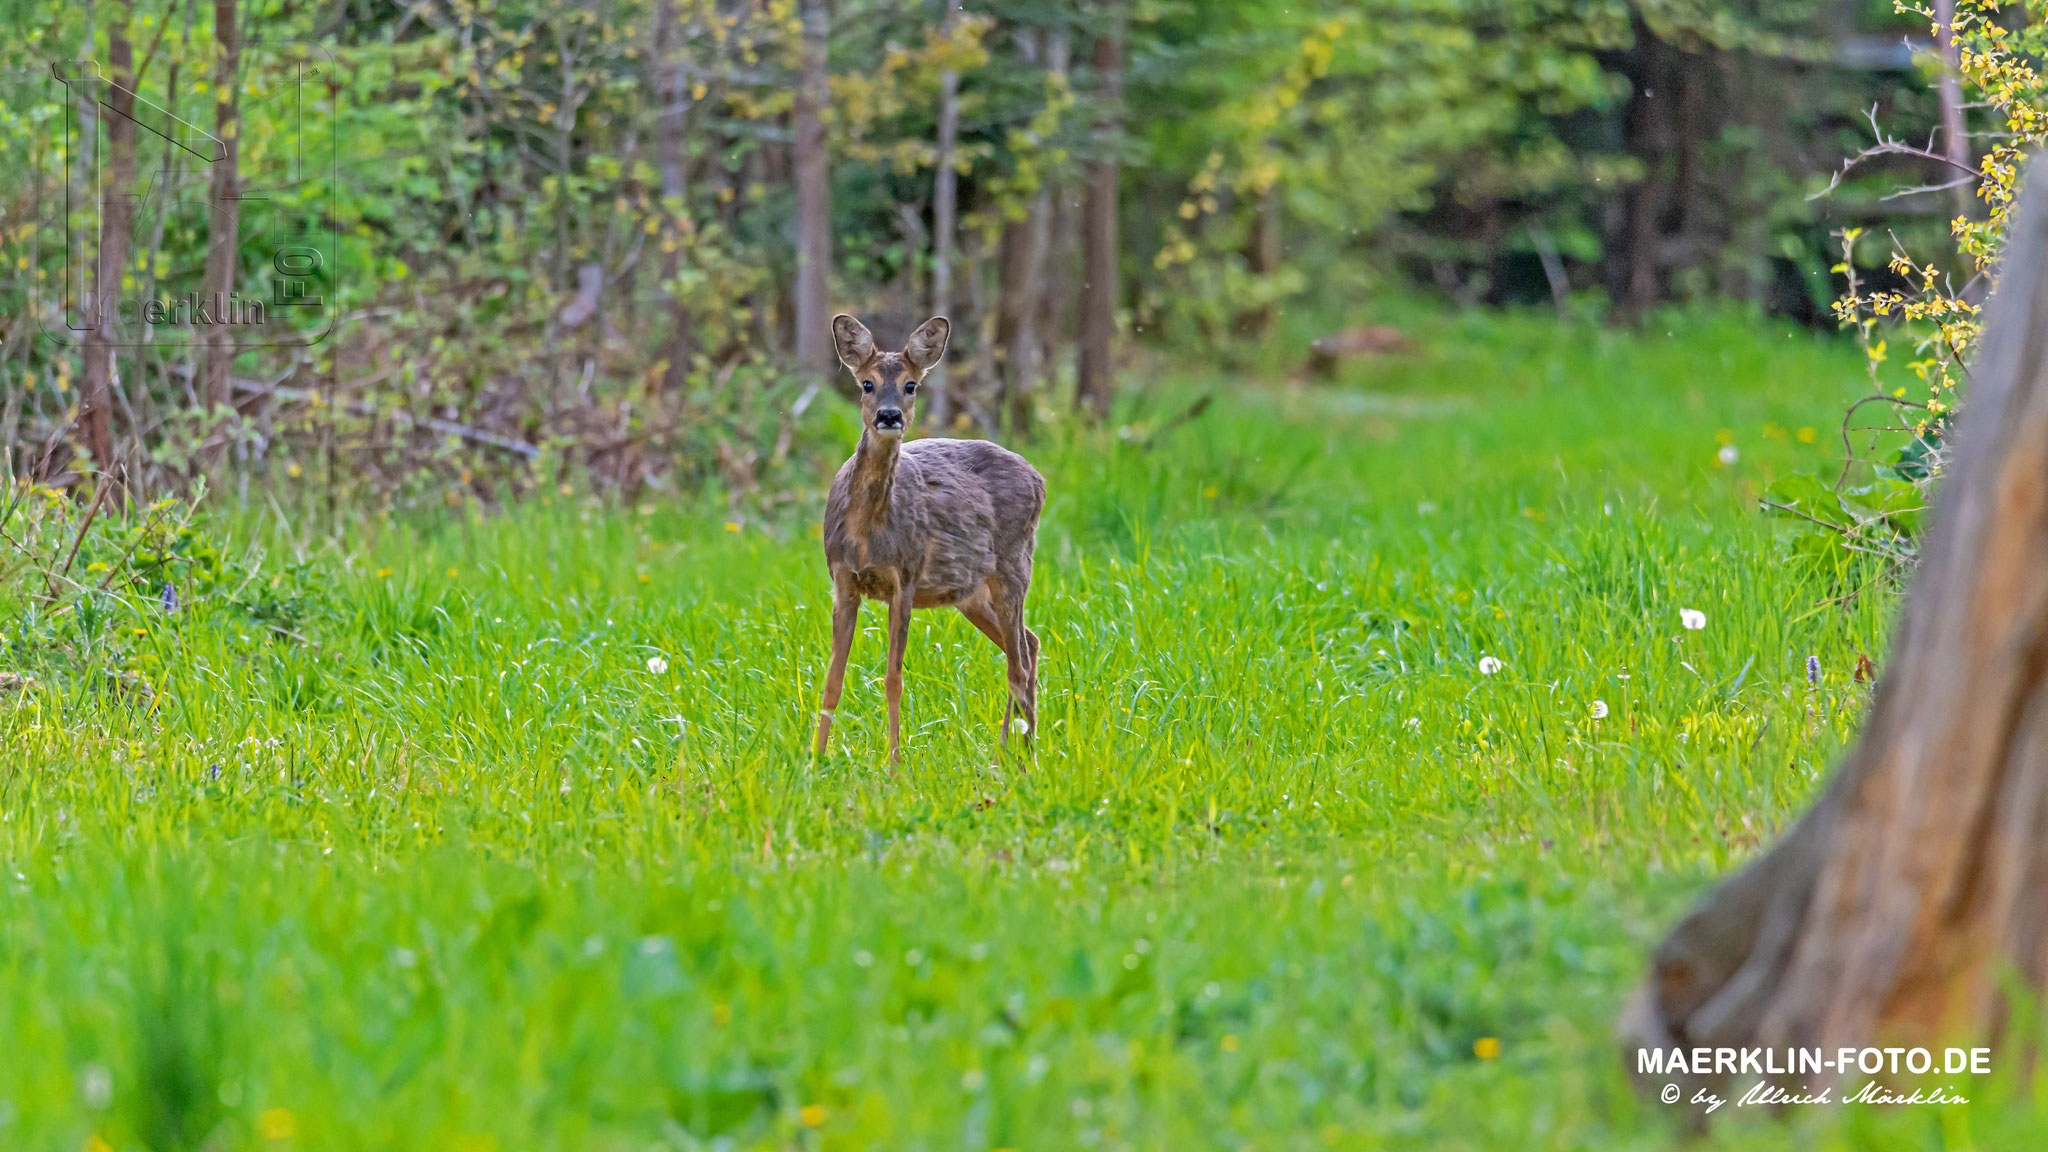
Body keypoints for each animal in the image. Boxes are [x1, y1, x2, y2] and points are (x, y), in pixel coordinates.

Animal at [811, 315, 1048, 762]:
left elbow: (893, 679)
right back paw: (1017, 753)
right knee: (1028, 643)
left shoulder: (904, 579)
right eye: (866, 383)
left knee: (1018, 664)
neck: (866, 534)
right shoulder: (843, 582)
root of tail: (1038, 477)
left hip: (1014, 566)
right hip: (970, 592)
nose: (888, 416)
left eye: (911, 385)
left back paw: (1016, 760)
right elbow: (833, 679)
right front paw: (815, 761)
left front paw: (894, 766)